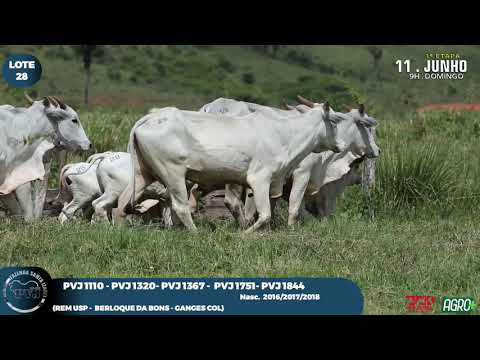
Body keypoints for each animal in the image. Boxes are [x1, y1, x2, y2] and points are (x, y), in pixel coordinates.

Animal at [117, 104, 344, 233]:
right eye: (334, 121)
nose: (341, 145)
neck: (286, 134)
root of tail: (149, 118)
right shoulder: (259, 178)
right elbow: (265, 214)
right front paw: (244, 234)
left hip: (143, 173)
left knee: (122, 203)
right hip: (172, 173)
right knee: (180, 206)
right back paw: (196, 233)